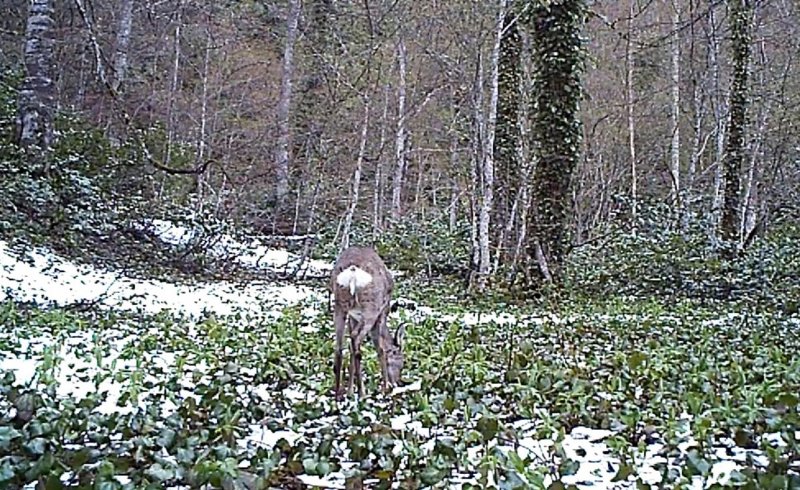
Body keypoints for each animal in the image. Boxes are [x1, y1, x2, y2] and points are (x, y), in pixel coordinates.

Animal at [332, 247, 406, 400]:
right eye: (401, 361)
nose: (398, 382)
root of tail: (353, 272)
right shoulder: (382, 311)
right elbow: (381, 348)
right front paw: (386, 388)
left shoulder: (354, 317)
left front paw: (350, 391)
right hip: (370, 308)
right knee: (356, 340)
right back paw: (362, 393)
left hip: (340, 306)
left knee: (340, 347)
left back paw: (338, 394)